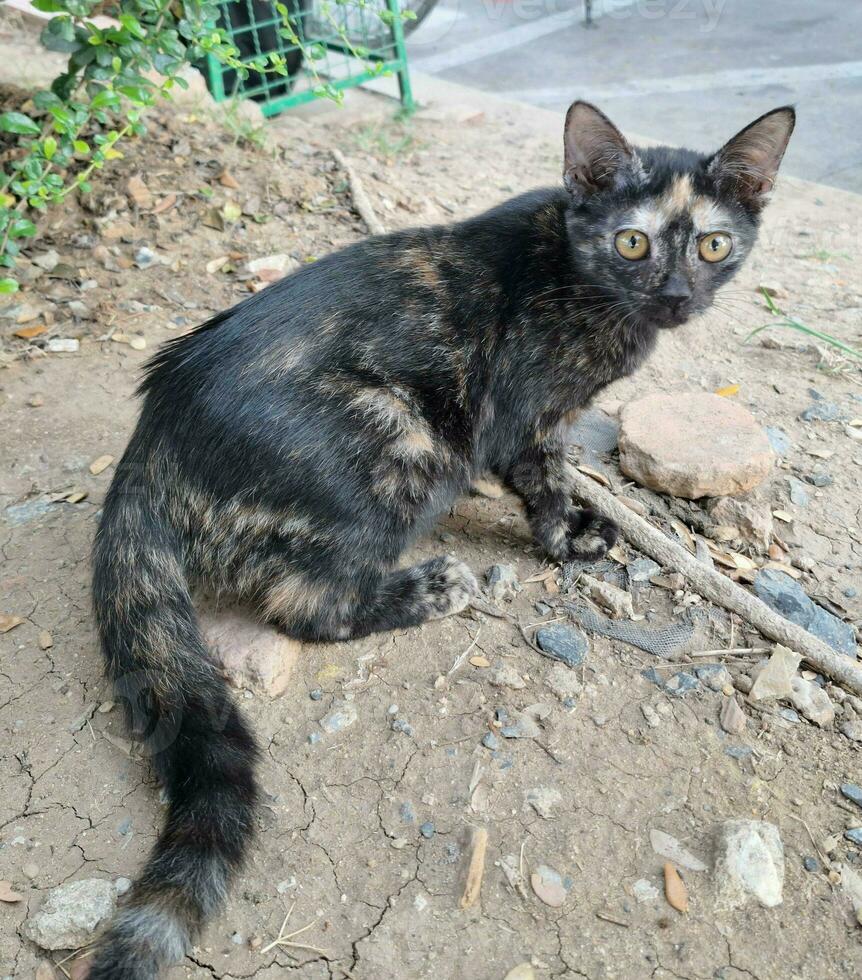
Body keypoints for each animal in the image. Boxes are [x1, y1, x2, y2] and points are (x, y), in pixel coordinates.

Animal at [88, 103, 796, 976]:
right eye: (632, 242)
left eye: (713, 246)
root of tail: (149, 443)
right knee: (303, 599)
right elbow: (548, 482)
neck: (578, 270)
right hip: (401, 437)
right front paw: (570, 537)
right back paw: (430, 587)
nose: (673, 294)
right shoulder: (518, 419)